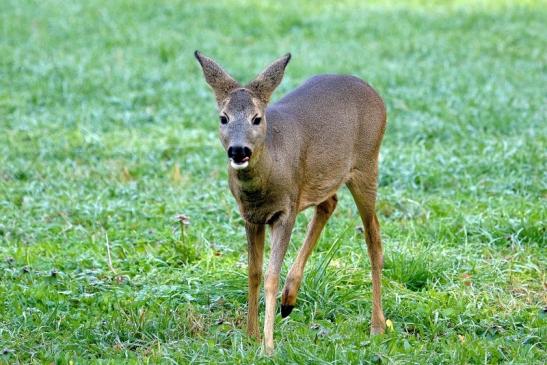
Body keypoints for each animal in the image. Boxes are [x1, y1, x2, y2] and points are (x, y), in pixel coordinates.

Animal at [195, 51, 388, 352]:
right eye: (223, 118)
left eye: (257, 118)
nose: (238, 150)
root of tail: (372, 91)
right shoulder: (250, 216)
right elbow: (253, 272)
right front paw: (250, 334)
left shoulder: (286, 211)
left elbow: (271, 277)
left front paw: (268, 346)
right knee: (329, 203)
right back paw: (289, 300)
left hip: (366, 165)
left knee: (373, 238)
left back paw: (377, 326)